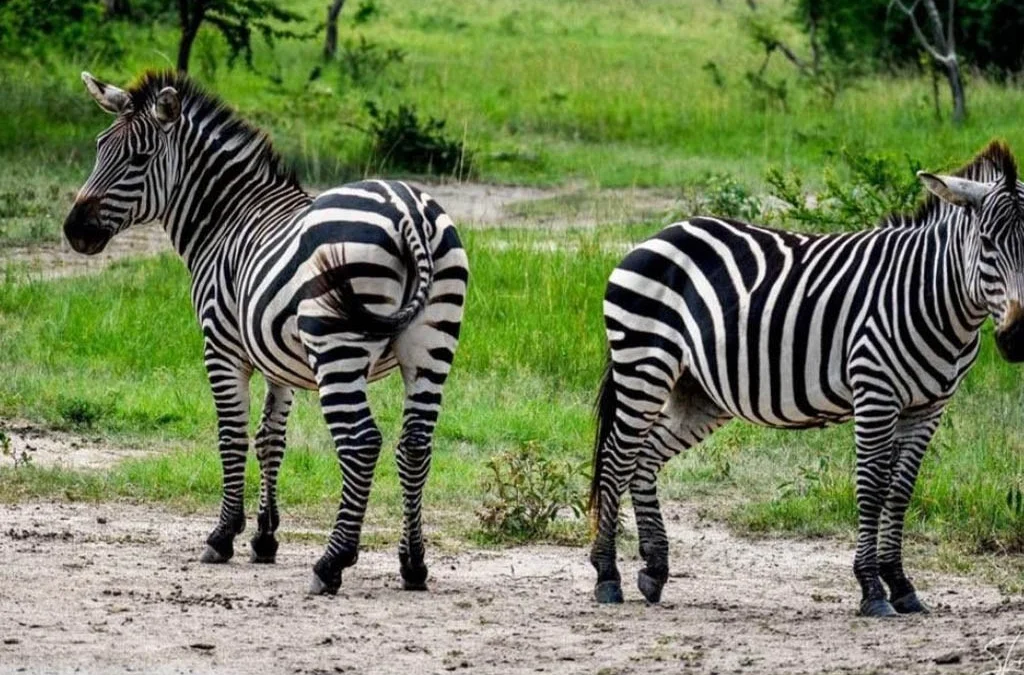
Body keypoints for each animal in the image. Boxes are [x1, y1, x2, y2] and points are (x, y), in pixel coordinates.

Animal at [63, 70, 469, 595]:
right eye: (99, 148)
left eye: (138, 158)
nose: (74, 231)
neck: (225, 219)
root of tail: (407, 211)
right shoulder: (278, 357)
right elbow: (270, 439)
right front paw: (264, 538)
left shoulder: (221, 347)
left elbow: (232, 435)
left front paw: (223, 535)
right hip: (432, 343)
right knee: (415, 444)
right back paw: (413, 564)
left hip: (336, 347)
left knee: (361, 442)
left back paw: (331, 562)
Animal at [588, 141, 1024, 617]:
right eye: (986, 244)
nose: (1018, 337)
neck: (932, 296)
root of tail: (660, 234)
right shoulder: (875, 392)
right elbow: (872, 487)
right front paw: (872, 589)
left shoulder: (929, 407)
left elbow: (900, 492)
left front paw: (901, 585)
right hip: (644, 363)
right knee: (616, 459)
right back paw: (607, 576)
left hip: (698, 391)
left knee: (644, 457)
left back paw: (655, 569)